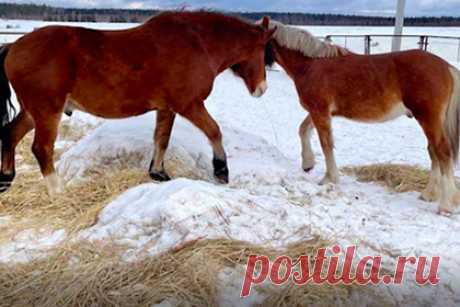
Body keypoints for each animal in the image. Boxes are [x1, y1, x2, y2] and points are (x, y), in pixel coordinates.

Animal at [0, 12, 274, 196]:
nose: (262, 88)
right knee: (41, 148)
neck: (198, 43)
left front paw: (158, 173)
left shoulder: (167, 108)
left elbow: (161, 139)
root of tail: (14, 46)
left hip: (32, 112)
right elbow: (214, 131)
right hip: (47, 111)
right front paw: (221, 170)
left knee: (10, 134)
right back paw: (58, 192)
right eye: (264, 51)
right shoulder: (189, 105)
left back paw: (6, 179)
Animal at [262, 19, 460, 217]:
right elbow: (303, 130)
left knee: (442, 151)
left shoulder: (320, 111)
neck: (310, 65)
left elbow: (326, 144)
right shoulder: (319, 112)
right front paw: (308, 164)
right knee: (433, 151)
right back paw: (429, 194)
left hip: (428, 119)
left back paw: (445, 205)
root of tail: (446, 67)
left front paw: (329, 179)